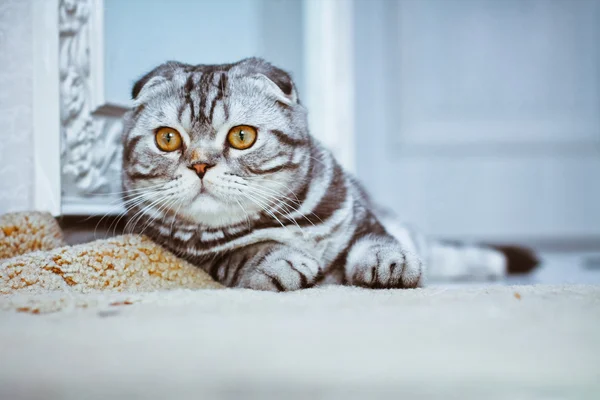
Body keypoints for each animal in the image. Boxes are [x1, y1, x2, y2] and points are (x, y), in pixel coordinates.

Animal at [119, 57, 536, 290]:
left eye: (241, 136)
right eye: (168, 139)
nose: (200, 165)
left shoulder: (361, 217)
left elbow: (376, 240)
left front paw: (389, 262)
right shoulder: (199, 259)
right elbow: (245, 251)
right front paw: (282, 261)